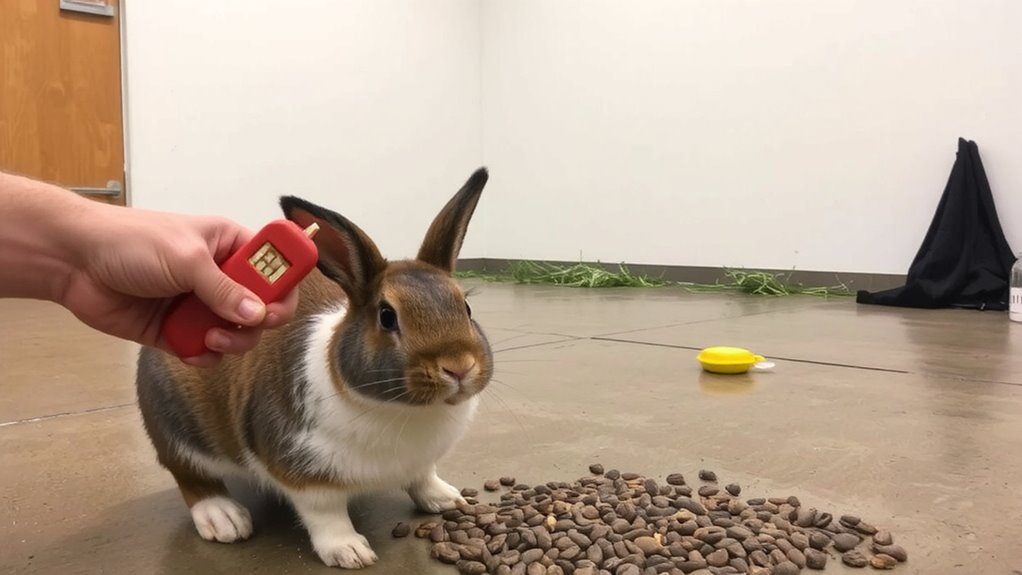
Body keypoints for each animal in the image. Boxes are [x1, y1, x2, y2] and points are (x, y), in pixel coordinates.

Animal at [134, 168, 493, 569]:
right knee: (191, 478)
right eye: (387, 316)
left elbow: (423, 479)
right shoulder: (305, 473)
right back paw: (224, 518)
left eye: (466, 307)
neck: (407, 412)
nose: (459, 368)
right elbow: (326, 514)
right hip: (177, 434)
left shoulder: (420, 464)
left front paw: (447, 499)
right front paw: (349, 552)